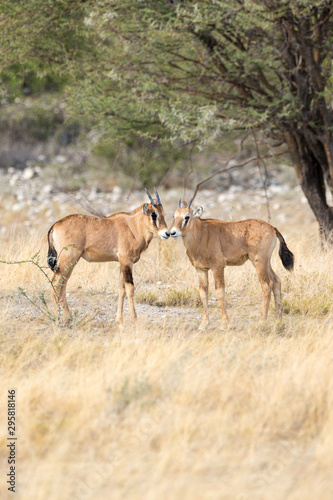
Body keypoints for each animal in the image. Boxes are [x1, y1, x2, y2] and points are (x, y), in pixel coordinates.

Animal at [47, 188, 169, 324]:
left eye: (162, 213)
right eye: (153, 214)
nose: (167, 233)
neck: (132, 226)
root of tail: (55, 225)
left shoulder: (122, 263)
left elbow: (121, 289)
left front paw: (119, 319)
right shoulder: (127, 261)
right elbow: (130, 288)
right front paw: (134, 319)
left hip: (70, 262)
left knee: (62, 283)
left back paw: (68, 316)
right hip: (68, 260)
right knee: (56, 283)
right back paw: (57, 317)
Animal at [171, 197, 294, 330]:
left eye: (187, 217)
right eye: (174, 216)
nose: (173, 233)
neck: (201, 234)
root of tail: (272, 228)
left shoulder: (218, 267)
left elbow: (220, 291)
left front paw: (224, 323)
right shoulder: (201, 269)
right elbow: (203, 292)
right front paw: (203, 324)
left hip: (259, 262)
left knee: (266, 286)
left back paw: (262, 321)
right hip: (266, 262)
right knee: (276, 281)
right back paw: (278, 319)